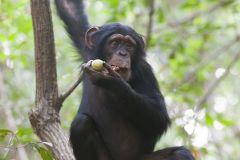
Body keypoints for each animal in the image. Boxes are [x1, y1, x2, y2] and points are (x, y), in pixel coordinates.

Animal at [54, 0, 195, 160]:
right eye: (115, 43)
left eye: (129, 45)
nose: (122, 53)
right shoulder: (87, 51)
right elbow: (71, 10)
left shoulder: (144, 71)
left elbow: (159, 115)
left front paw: (111, 82)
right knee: (81, 124)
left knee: (180, 154)